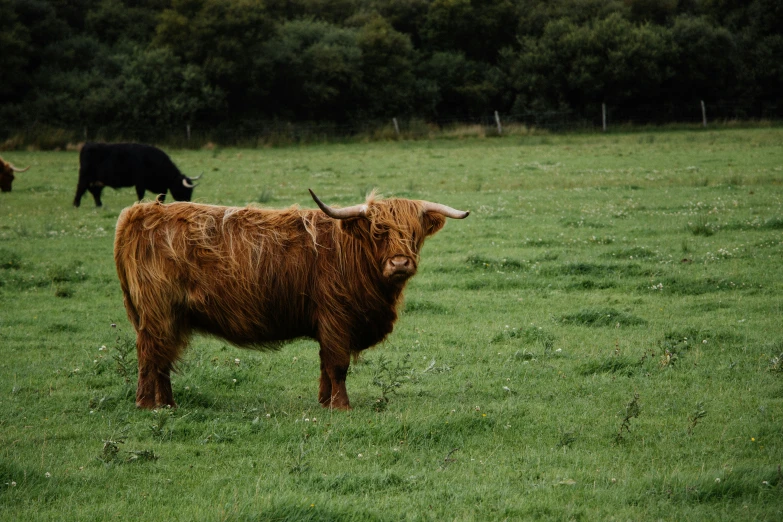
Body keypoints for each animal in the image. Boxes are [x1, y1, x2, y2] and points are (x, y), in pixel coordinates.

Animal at [73, 143, 201, 208]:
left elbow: (161, 197)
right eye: (184, 189)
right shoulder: (140, 183)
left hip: (98, 180)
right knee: (81, 188)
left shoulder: (161, 187)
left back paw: (99, 205)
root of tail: (87, 145)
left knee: (95, 191)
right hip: (85, 176)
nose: (188, 203)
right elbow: (141, 195)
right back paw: (76, 204)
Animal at [115, 189, 472, 408]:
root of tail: (141, 211)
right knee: (150, 356)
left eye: (413, 233)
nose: (400, 263)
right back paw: (147, 405)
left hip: (171, 317)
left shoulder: (328, 325)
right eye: (378, 232)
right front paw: (342, 406)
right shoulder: (336, 318)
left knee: (163, 358)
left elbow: (325, 365)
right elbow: (338, 365)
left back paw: (169, 405)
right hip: (158, 312)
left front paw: (324, 402)